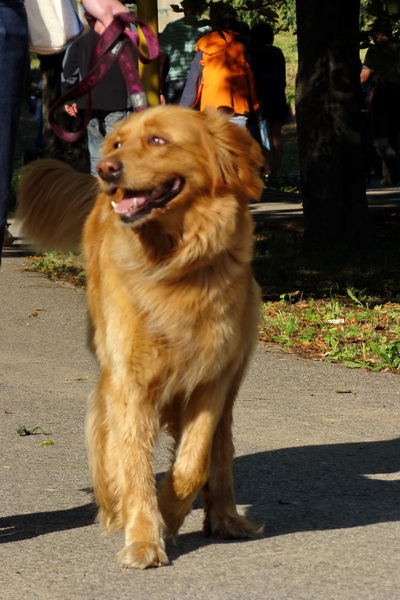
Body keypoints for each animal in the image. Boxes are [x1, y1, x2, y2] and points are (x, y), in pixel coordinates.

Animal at [17, 105, 264, 568]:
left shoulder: (210, 379)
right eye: (117, 142)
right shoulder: (128, 380)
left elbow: (191, 465)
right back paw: (115, 509)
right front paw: (144, 535)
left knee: (220, 449)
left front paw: (168, 512)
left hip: (234, 373)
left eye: (158, 140)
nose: (105, 169)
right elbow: (132, 464)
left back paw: (225, 516)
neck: (175, 263)